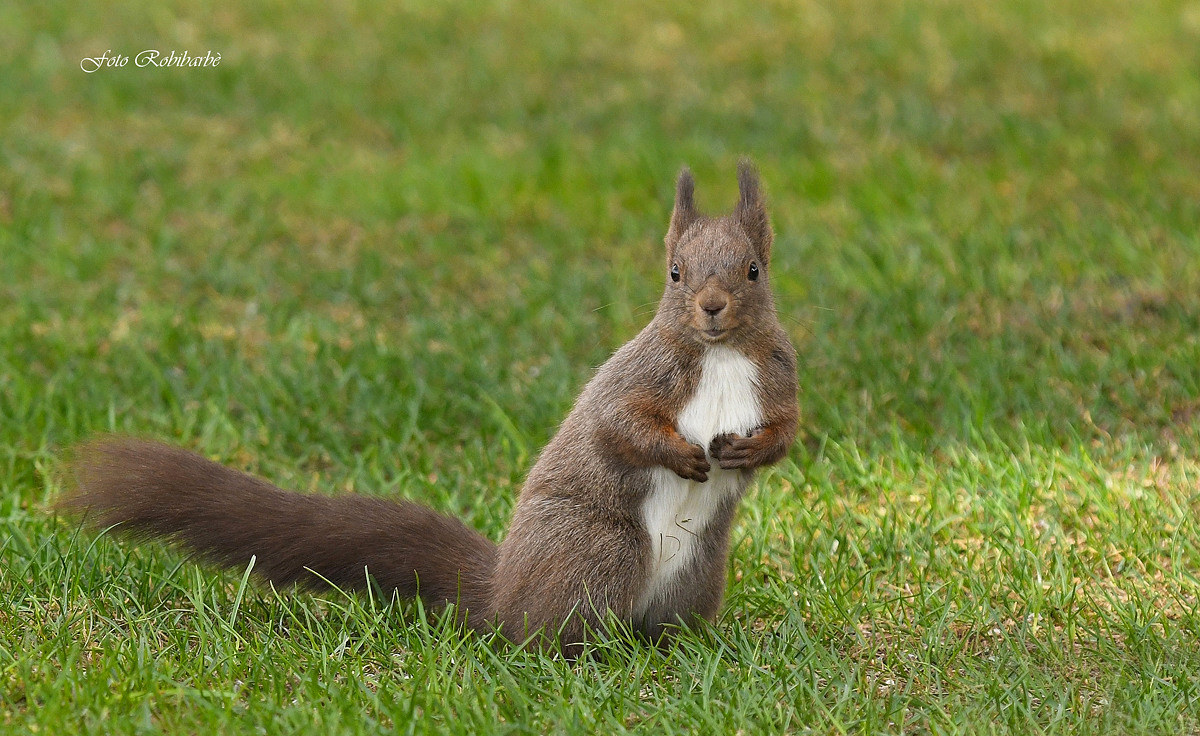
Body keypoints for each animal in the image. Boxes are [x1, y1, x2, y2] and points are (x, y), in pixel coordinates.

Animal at [60, 161, 800, 655]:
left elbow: (788, 432)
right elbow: (618, 425)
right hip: (599, 552)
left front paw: (748, 450)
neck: (720, 354)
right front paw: (683, 455)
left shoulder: (779, 381)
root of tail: (502, 593)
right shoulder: (635, 378)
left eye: (754, 270)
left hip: (696, 574)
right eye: (674, 273)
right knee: (545, 635)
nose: (711, 307)